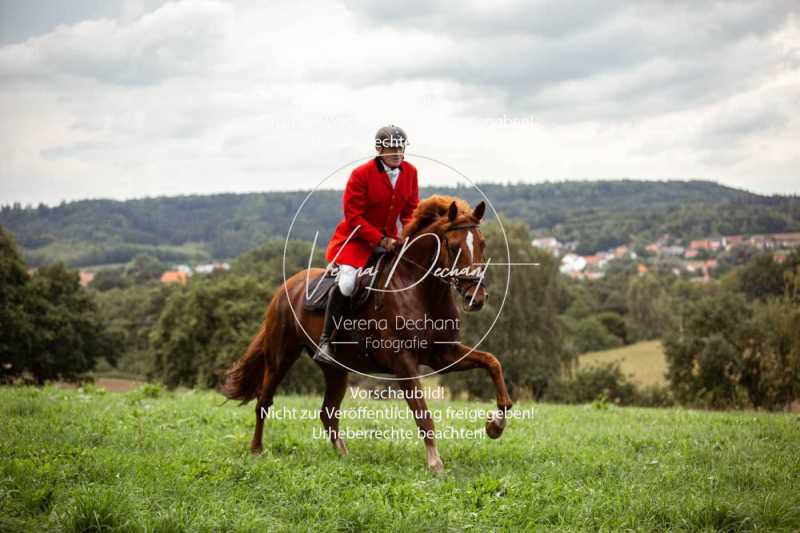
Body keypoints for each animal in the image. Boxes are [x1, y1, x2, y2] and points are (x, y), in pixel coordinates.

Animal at [222, 194, 516, 470]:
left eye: (482, 244)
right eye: (454, 247)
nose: (476, 298)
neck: (421, 291)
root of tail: (285, 288)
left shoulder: (444, 354)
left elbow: (493, 362)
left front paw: (496, 425)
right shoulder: (403, 362)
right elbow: (422, 413)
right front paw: (435, 463)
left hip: (336, 369)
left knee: (328, 412)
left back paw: (343, 456)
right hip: (281, 356)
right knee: (264, 401)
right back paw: (257, 450)